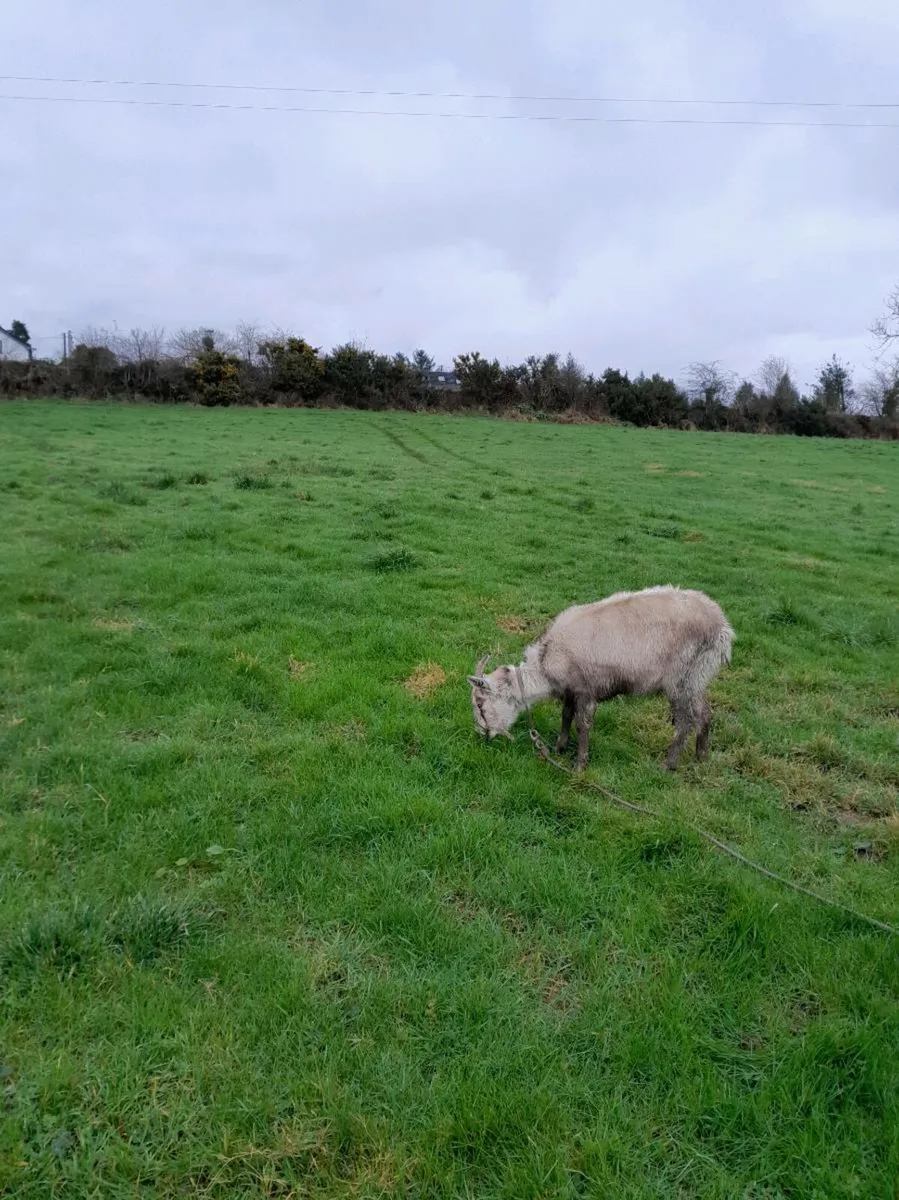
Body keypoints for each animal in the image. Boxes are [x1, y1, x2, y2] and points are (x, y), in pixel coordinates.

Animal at [468, 585, 734, 771]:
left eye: (480, 704)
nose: (482, 734)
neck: (545, 665)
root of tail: (723, 628)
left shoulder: (586, 689)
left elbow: (582, 724)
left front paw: (579, 765)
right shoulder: (571, 690)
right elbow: (566, 715)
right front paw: (559, 747)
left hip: (682, 677)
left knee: (685, 721)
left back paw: (668, 764)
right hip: (697, 677)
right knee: (705, 713)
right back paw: (701, 758)